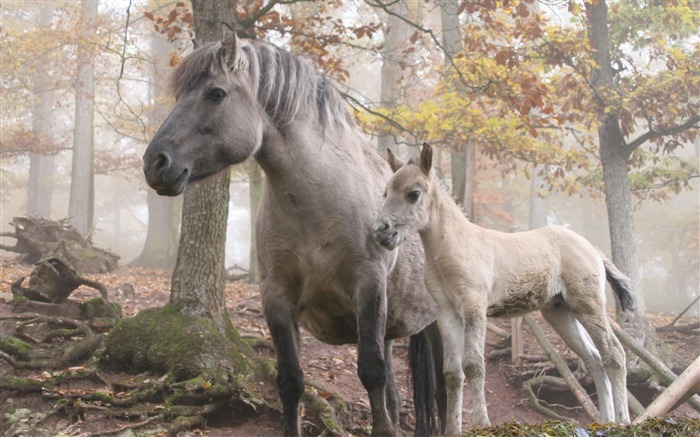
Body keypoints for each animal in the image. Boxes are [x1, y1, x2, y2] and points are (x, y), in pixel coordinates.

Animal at [144, 31, 442, 436]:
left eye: (216, 93)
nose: (155, 164)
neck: (316, 204)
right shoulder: (277, 297)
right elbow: (290, 380)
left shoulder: (369, 285)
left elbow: (371, 373)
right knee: (395, 396)